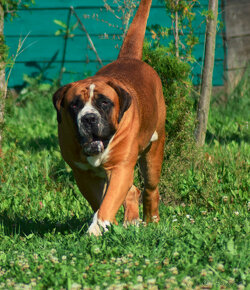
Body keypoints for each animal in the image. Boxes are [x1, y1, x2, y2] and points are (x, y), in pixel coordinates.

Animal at [53, 0, 166, 236]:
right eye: (75, 105)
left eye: (104, 102)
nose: (88, 118)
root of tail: (129, 58)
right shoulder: (83, 174)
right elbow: (100, 200)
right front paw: (106, 224)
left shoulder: (120, 167)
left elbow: (108, 201)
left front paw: (97, 228)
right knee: (132, 190)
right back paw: (131, 221)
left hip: (153, 154)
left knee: (151, 189)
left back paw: (151, 220)